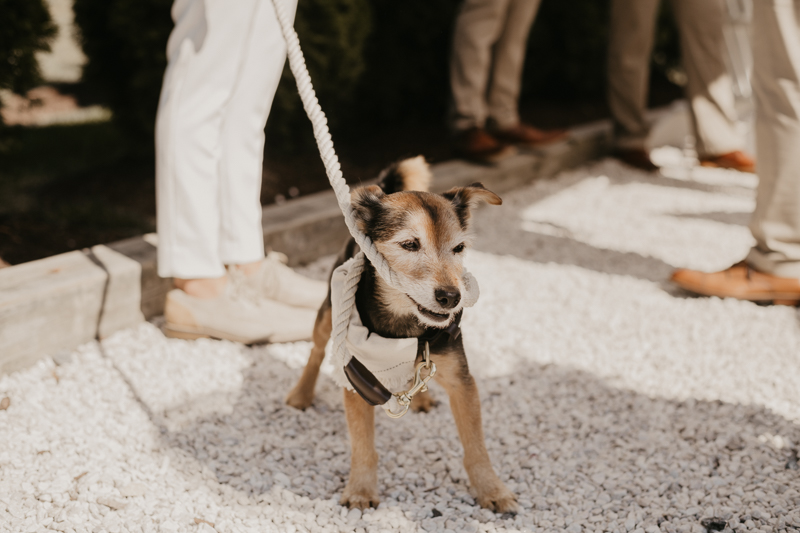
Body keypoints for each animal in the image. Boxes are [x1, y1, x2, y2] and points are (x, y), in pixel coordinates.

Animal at [284, 156, 516, 512]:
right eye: (409, 244)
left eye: (459, 247)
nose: (451, 297)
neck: (408, 329)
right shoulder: (357, 381)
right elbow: (363, 446)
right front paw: (361, 491)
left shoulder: (461, 380)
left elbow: (476, 446)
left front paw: (491, 489)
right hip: (327, 314)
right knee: (316, 351)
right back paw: (301, 394)